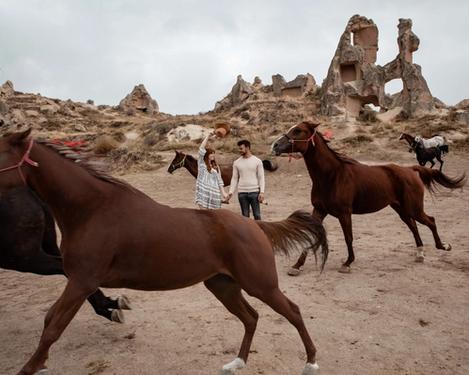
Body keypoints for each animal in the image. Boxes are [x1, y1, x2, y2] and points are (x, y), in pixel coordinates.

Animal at [270, 122, 464, 274]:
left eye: (298, 130)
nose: (275, 146)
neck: (332, 176)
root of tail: (411, 169)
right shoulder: (319, 210)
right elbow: (311, 235)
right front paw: (297, 266)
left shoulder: (344, 213)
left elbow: (348, 237)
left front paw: (347, 263)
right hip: (401, 209)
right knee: (414, 226)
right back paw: (420, 254)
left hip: (413, 208)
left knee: (430, 221)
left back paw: (443, 246)